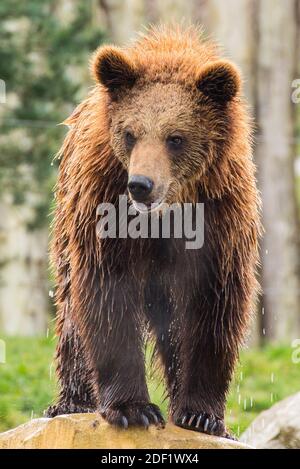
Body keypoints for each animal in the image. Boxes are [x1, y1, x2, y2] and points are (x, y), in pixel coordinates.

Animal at [47, 23, 260, 436]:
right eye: (130, 133)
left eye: (175, 137)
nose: (140, 185)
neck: (167, 214)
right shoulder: (104, 207)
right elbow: (106, 297)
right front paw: (134, 408)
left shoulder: (221, 219)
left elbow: (213, 308)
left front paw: (202, 415)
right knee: (71, 317)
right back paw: (70, 402)